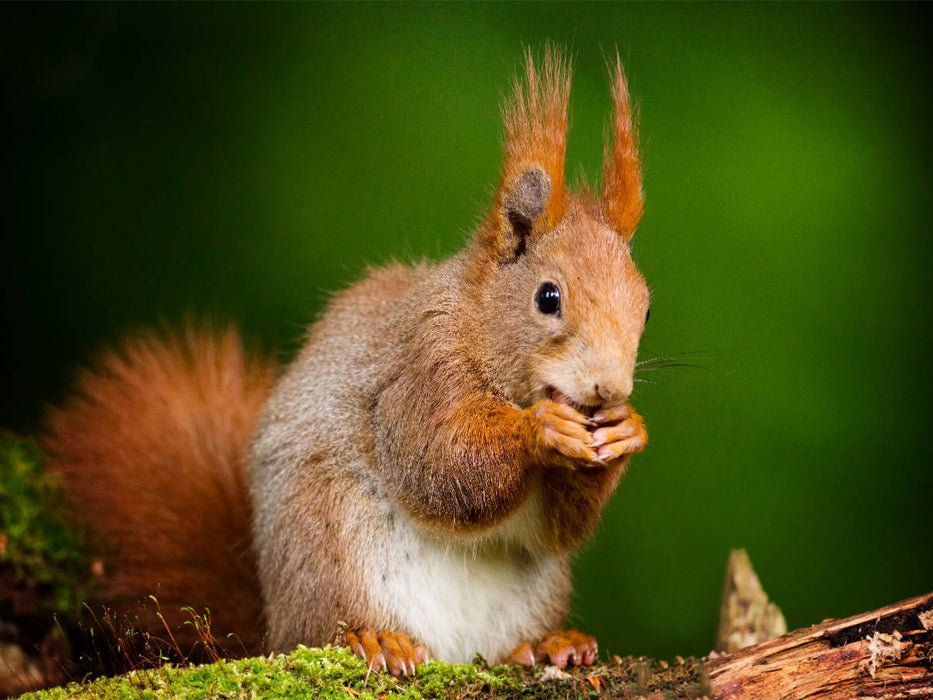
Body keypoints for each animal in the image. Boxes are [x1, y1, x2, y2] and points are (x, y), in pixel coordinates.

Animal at [41, 47, 650, 676]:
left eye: (646, 309)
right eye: (547, 297)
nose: (609, 389)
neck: (479, 321)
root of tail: (275, 621)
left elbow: (559, 527)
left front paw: (627, 431)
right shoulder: (420, 366)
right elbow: (439, 459)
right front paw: (543, 428)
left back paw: (545, 645)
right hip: (332, 545)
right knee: (328, 626)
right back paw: (376, 640)